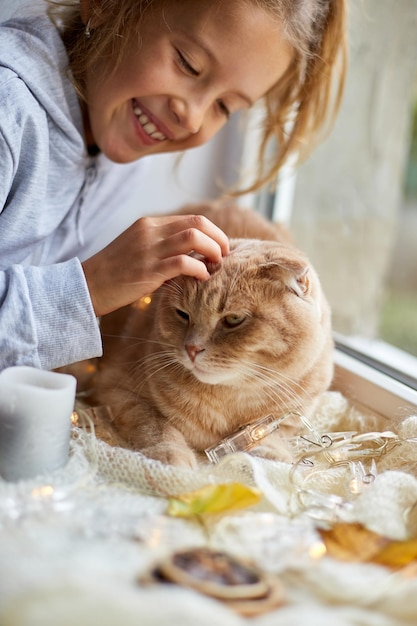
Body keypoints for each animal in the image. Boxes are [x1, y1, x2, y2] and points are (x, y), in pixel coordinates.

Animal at [94, 202, 332, 466]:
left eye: (234, 319)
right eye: (183, 314)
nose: (192, 349)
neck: (228, 399)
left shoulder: (291, 417)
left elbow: (274, 431)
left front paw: (271, 451)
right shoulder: (119, 388)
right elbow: (155, 424)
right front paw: (170, 456)